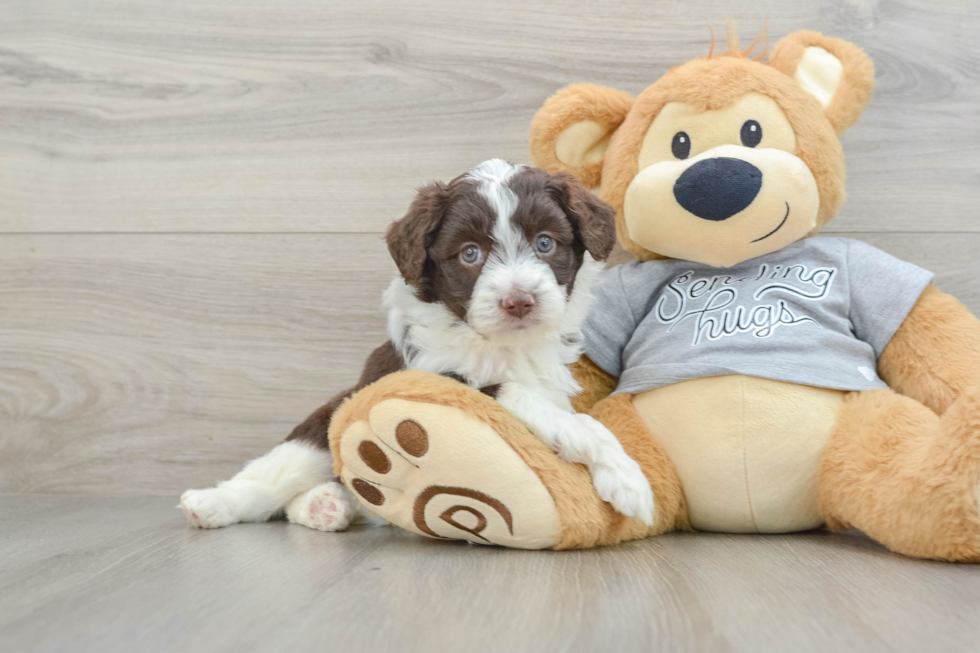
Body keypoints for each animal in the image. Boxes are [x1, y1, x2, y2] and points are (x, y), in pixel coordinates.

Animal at [182, 160, 660, 532]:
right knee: (276, 475)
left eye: (545, 243)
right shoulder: (438, 375)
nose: (519, 301)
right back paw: (213, 504)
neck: (501, 345)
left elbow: (566, 414)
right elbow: (541, 404)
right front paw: (628, 478)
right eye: (469, 254)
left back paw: (326, 506)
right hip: (327, 421)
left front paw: (616, 472)